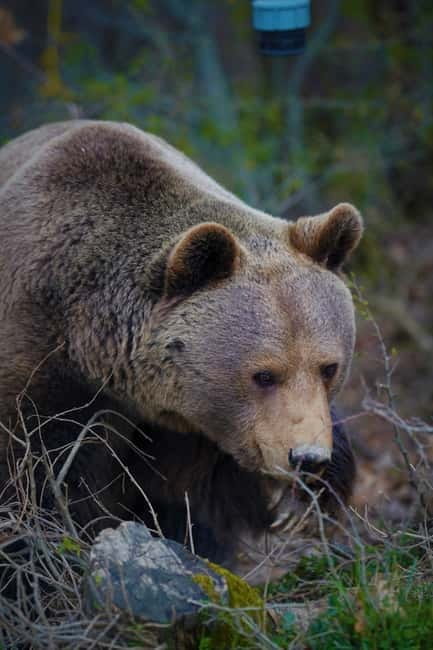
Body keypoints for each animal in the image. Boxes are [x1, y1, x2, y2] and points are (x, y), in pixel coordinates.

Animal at [0, 120, 361, 579]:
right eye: (263, 374)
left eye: (328, 367)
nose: (307, 458)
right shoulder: (41, 369)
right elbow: (35, 481)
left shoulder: (190, 430)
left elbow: (202, 498)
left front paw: (301, 500)